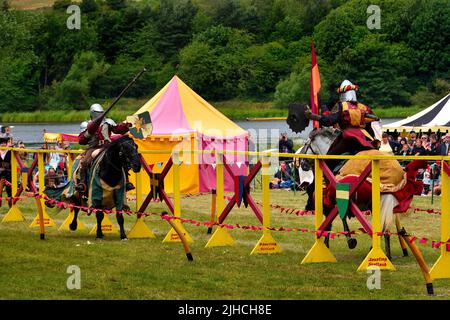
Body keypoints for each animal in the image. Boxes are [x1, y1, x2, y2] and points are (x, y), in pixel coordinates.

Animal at [296, 126, 426, 258]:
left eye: (306, 144)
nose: (302, 163)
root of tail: (391, 180)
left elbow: (336, 218)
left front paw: (348, 240)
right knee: (384, 228)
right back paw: (382, 253)